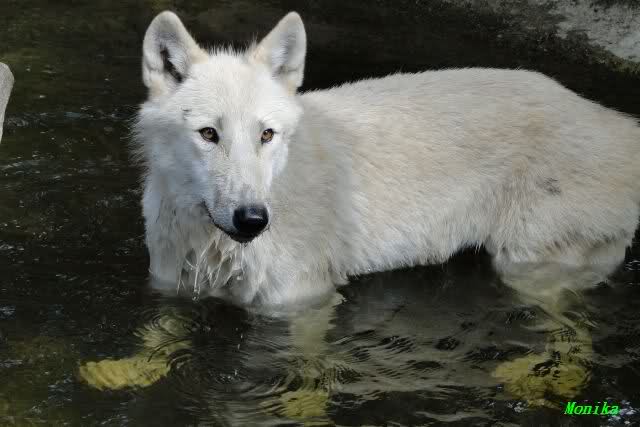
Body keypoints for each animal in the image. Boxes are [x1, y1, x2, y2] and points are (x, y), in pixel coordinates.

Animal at [133, 10, 640, 308]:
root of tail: (618, 122)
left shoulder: (302, 302)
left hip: (526, 266)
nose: (253, 219)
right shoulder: (167, 287)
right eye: (209, 134)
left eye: (266, 134)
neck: (213, 248)